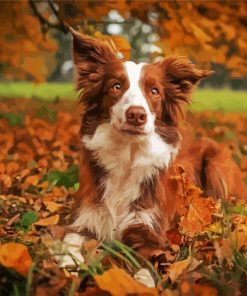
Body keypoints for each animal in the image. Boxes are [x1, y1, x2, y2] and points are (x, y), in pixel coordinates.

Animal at [62, 28, 245, 260]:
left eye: (155, 91)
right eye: (116, 86)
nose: (136, 115)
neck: (128, 156)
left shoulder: (148, 230)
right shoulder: (86, 219)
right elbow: (68, 248)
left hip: (216, 165)